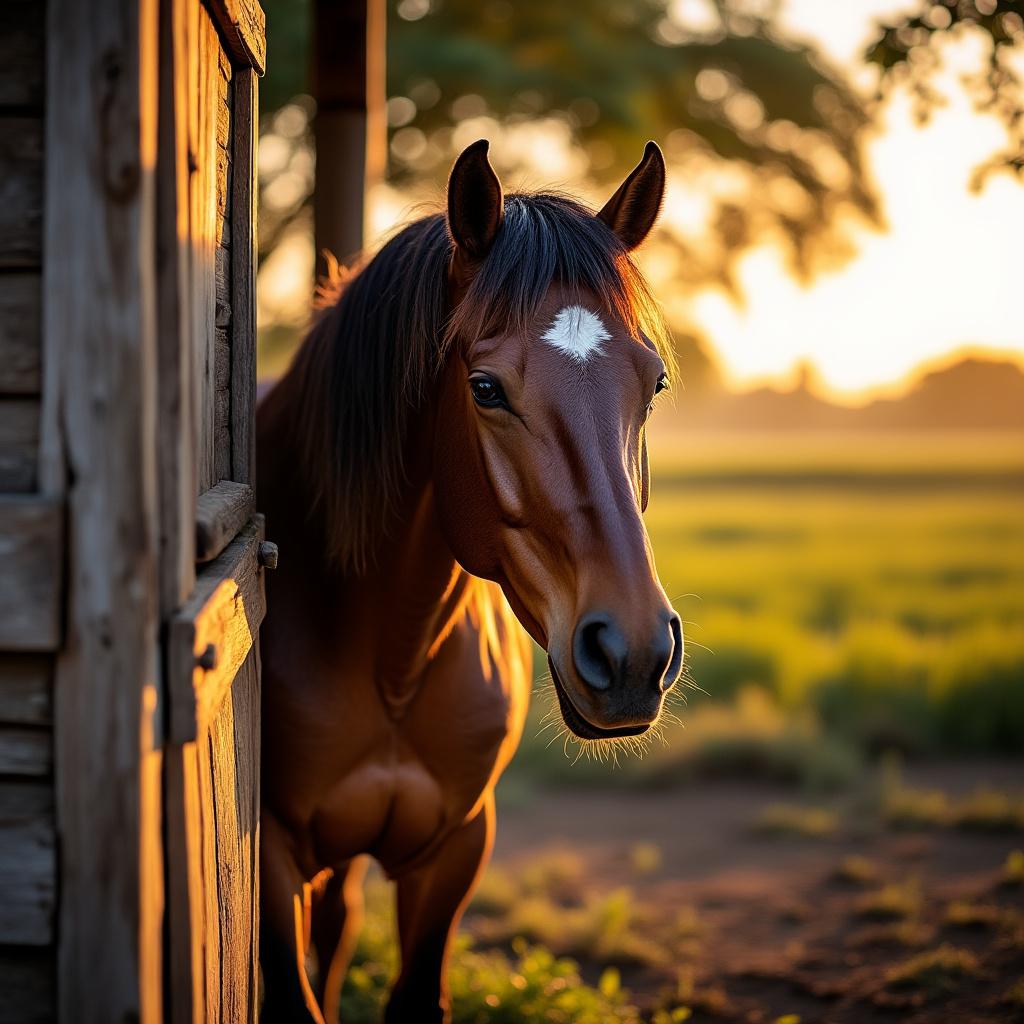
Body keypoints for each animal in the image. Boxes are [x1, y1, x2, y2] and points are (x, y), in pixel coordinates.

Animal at [256, 138, 684, 1023]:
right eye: (486, 388)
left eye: (653, 384)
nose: (632, 656)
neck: (392, 657)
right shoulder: (274, 856)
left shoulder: (456, 848)